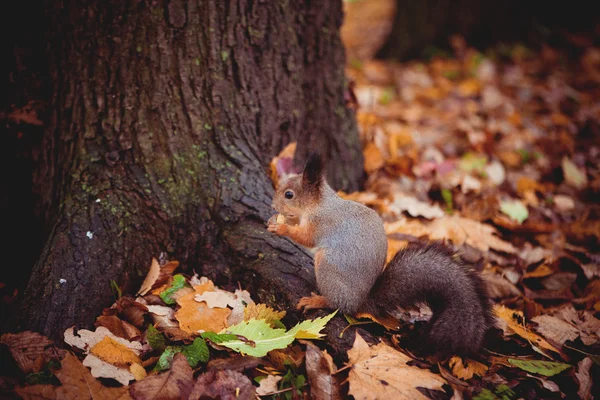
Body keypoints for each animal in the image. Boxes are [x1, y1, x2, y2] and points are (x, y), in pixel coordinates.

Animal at [270, 152, 494, 354]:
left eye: (289, 194)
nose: (273, 204)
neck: (320, 204)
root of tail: (362, 300)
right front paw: (279, 220)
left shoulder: (321, 224)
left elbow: (306, 238)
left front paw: (282, 228)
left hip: (327, 266)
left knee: (340, 305)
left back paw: (318, 300)